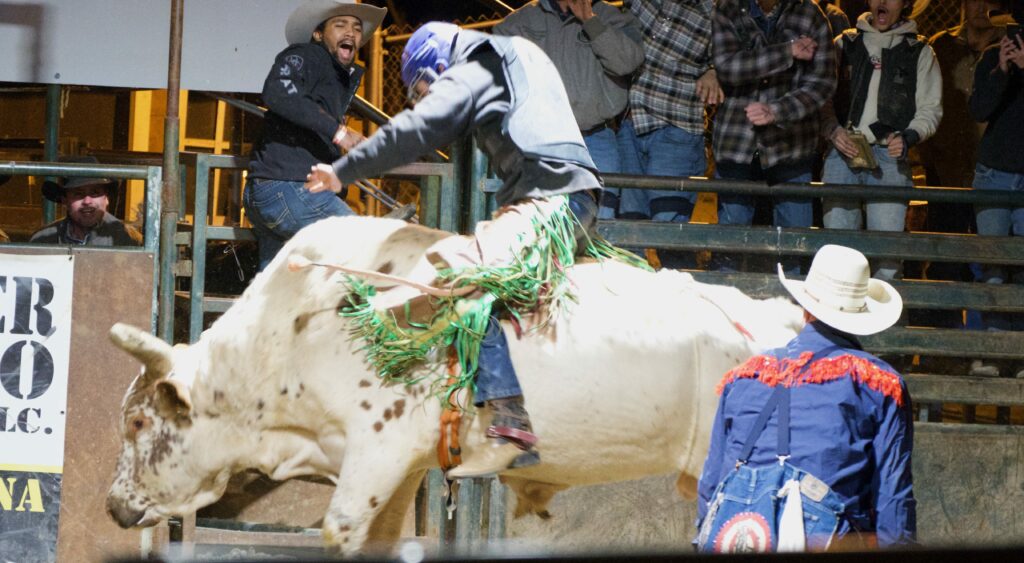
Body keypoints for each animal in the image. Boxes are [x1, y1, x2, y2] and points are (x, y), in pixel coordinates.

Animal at [105, 215, 806, 556]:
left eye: (139, 422)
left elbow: (339, 528)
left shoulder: (378, 450)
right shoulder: (397, 470)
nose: (113, 507)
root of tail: (785, 322)